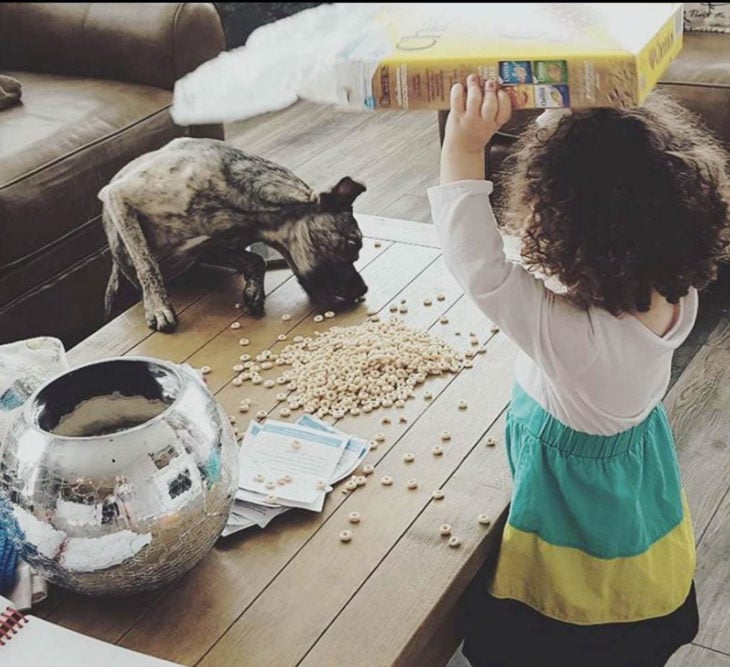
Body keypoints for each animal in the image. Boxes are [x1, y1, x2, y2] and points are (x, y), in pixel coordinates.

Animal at [99, 138, 366, 332]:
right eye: (352, 244)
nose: (363, 290)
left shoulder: (208, 249)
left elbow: (255, 260)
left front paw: (254, 291)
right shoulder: (119, 195)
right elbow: (147, 263)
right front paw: (158, 307)